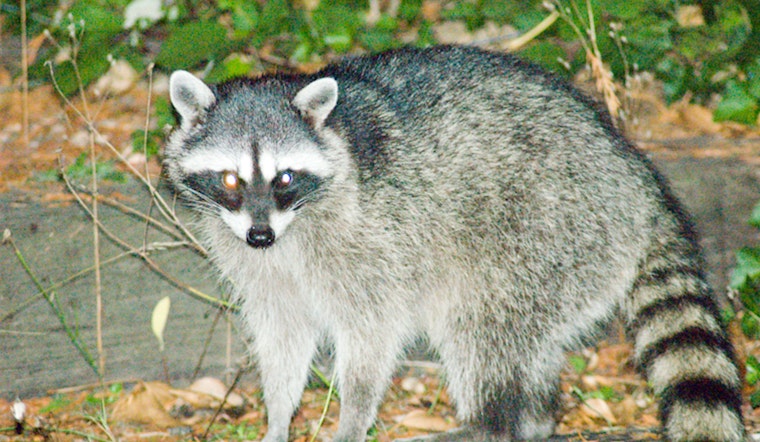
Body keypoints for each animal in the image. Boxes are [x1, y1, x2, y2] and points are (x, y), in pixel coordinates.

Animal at [163, 45, 744, 441]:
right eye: (231, 180)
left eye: (284, 178)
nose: (259, 235)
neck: (291, 225)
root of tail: (637, 179)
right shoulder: (260, 265)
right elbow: (283, 335)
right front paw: (279, 416)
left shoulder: (371, 244)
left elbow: (372, 338)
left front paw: (351, 419)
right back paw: (532, 418)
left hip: (546, 231)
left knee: (480, 328)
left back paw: (492, 422)